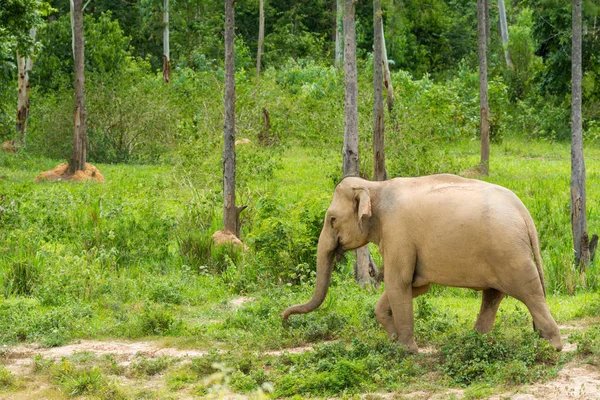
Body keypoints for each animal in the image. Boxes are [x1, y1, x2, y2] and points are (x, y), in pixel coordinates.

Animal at [282, 175, 564, 354]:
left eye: (331, 219)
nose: (284, 321)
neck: (374, 186)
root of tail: (525, 213)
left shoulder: (398, 232)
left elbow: (399, 282)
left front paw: (406, 350)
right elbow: (416, 286)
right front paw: (394, 339)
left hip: (509, 252)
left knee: (529, 291)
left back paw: (552, 346)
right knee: (493, 295)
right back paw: (473, 342)